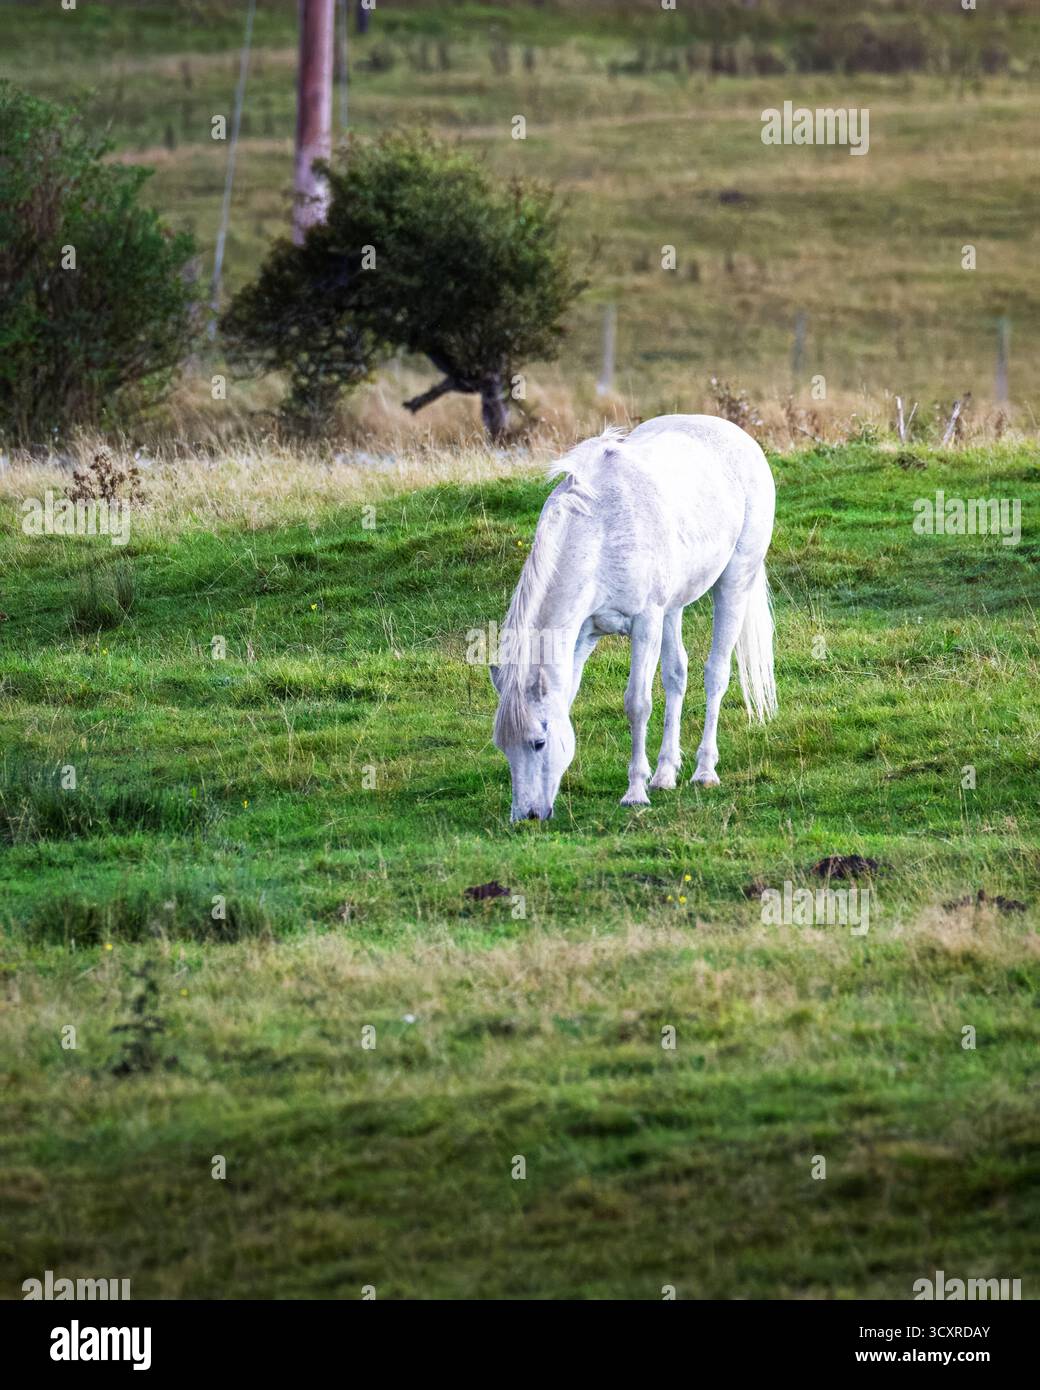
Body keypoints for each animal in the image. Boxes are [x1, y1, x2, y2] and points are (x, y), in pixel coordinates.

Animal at [490, 414, 777, 821]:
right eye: (503, 746)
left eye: (539, 742)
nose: (526, 815)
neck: (601, 530)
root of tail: (737, 434)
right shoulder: (584, 636)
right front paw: (649, 780)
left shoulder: (645, 623)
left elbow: (637, 704)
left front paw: (635, 792)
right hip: (673, 607)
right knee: (677, 675)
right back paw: (666, 773)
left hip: (733, 583)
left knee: (716, 674)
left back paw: (704, 772)